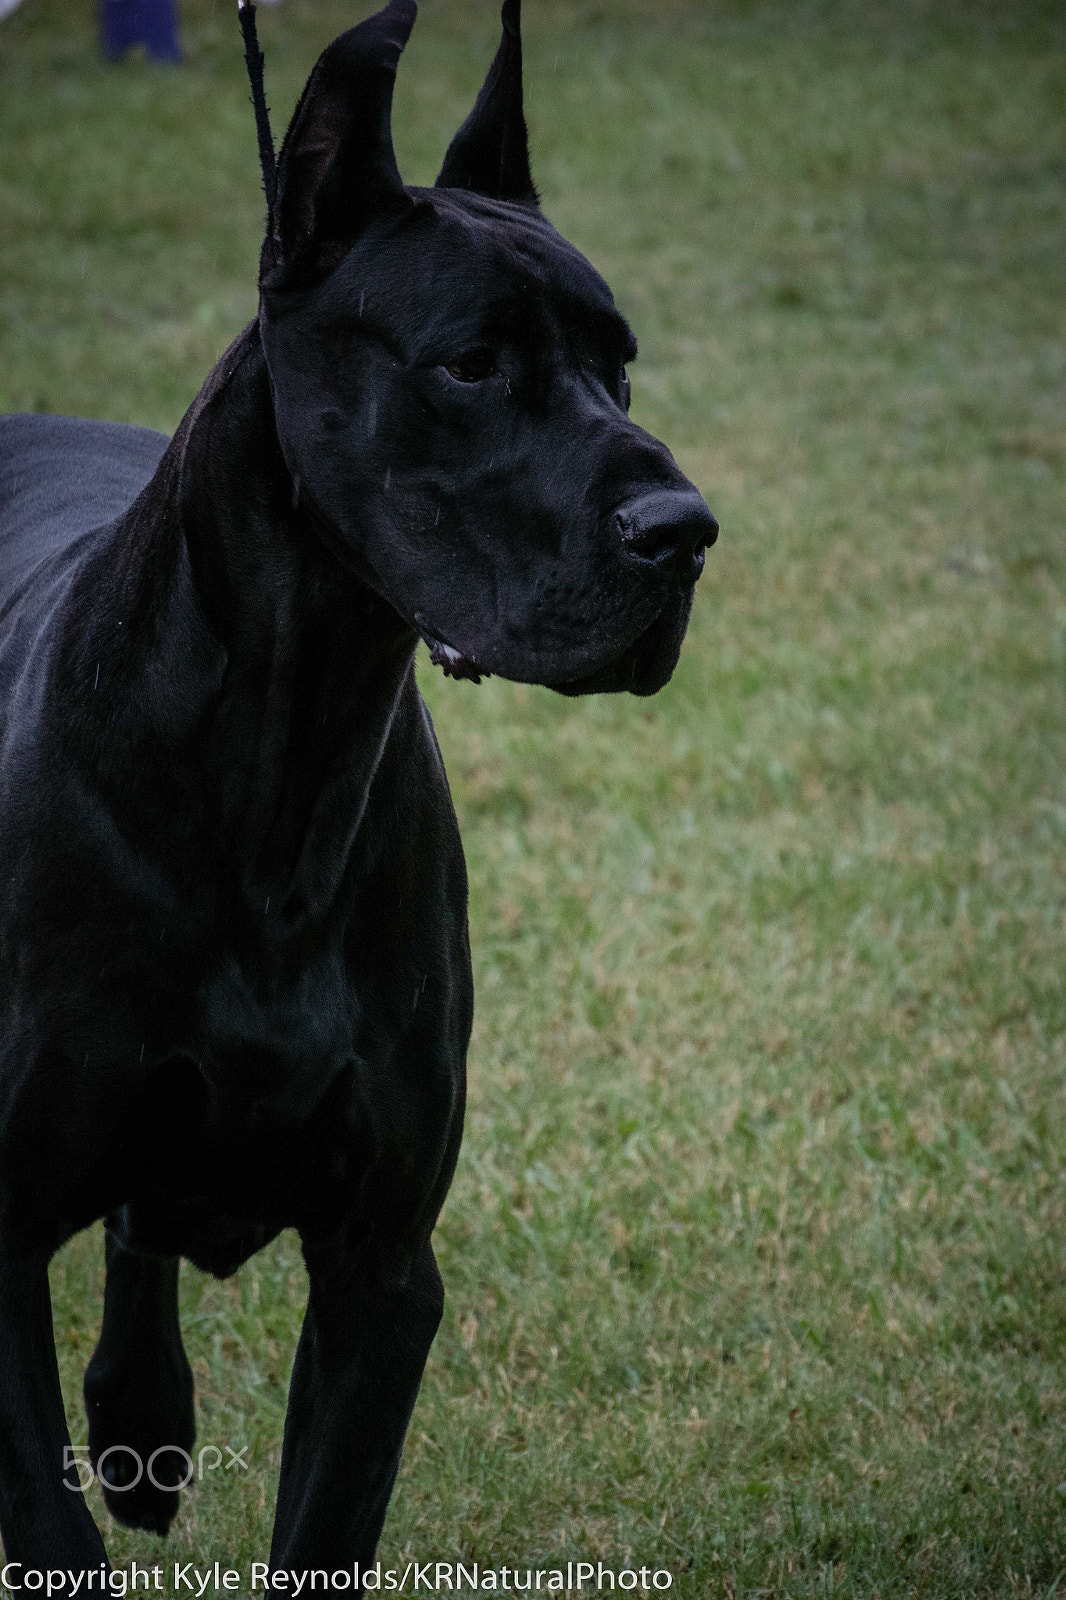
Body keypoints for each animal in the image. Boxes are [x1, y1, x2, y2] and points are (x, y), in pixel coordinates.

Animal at [0, 0, 713, 1574]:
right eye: (468, 366)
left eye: (620, 365)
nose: (685, 530)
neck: (281, 758)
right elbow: (44, 1526)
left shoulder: (381, 1270)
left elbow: (322, 1526)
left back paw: (143, 1412)